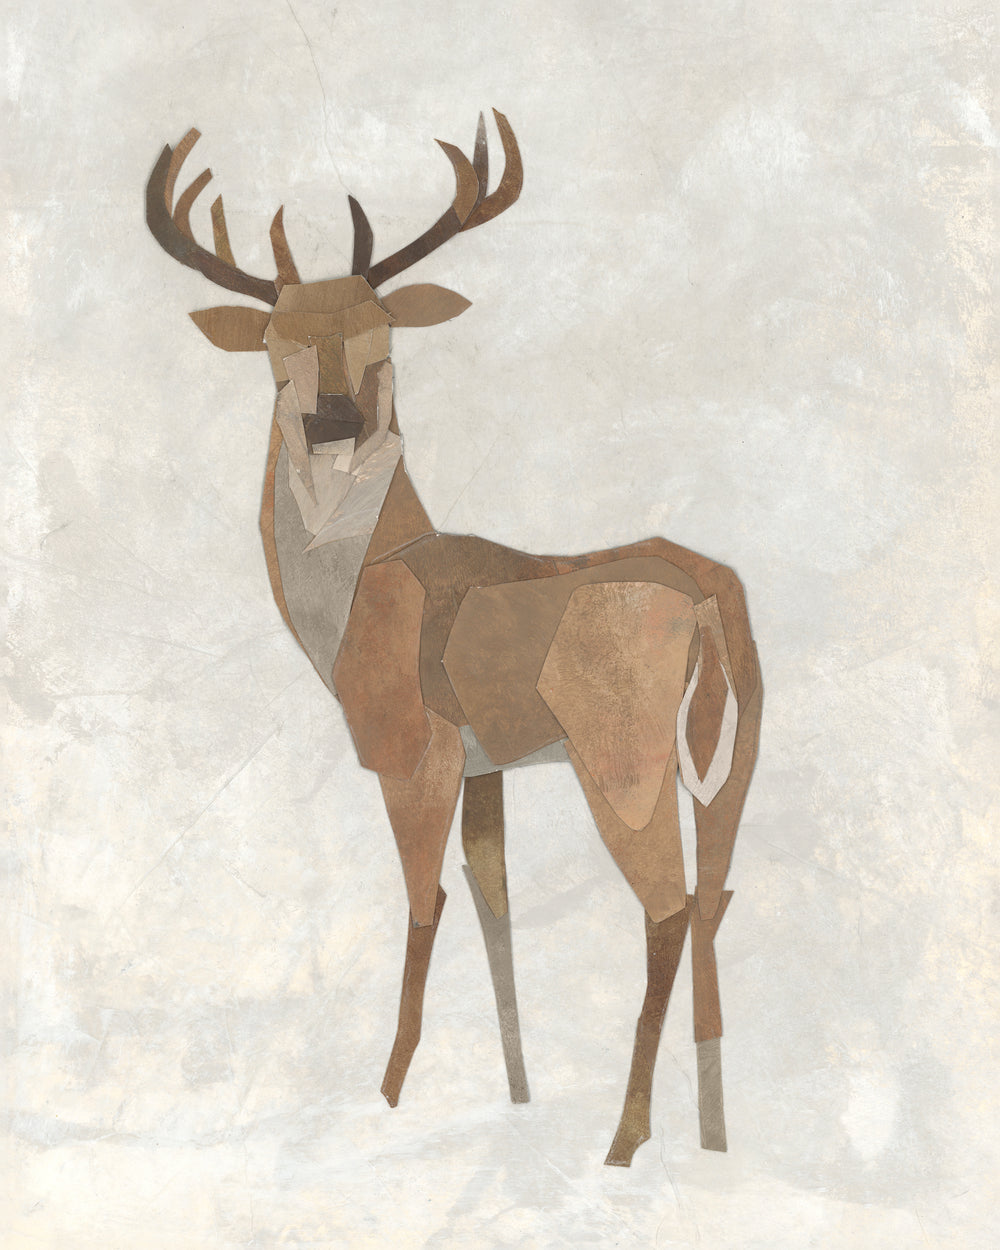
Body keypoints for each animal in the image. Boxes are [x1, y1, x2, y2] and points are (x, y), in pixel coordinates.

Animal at [145, 111, 762, 1166]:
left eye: (382, 332)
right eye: (275, 342)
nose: (333, 418)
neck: (364, 597)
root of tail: (706, 597)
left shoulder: (414, 748)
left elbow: (426, 903)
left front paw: (388, 1089)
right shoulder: (488, 764)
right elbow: (493, 906)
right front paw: (516, 1094)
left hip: (621, 753)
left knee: (670, 908)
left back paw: (626, 1139)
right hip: (737, 745)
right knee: (717, 896)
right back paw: (715, 1141)